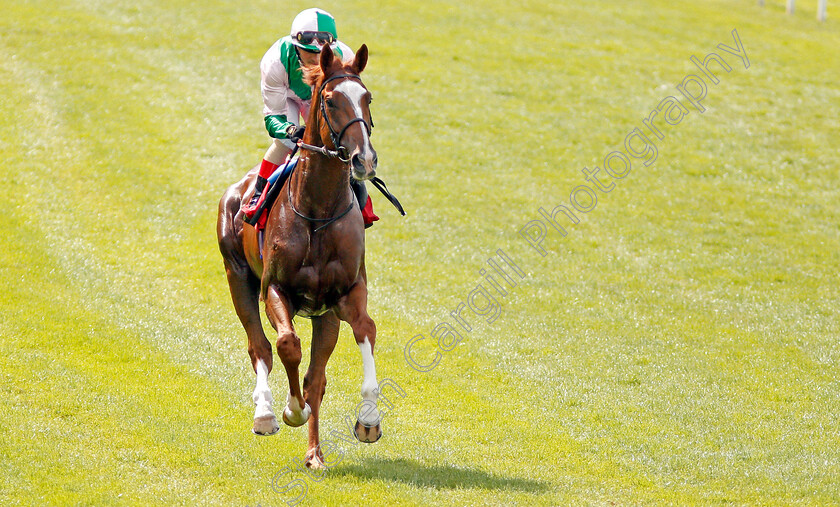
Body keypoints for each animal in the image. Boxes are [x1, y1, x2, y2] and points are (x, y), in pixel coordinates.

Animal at [218, 45, 386, 470]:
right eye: (330, 100)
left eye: (367, 98)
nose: (363, 159)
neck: (318, 210)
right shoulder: (275, 289)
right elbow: (286, 344)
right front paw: (291, 410)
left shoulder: (346, 293)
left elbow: (366, 329)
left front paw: (368, 420)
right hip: (236, 276)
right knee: (260, 347)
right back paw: (265, 414)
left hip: (325, 316)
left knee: (316, 378)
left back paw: (314, 453)